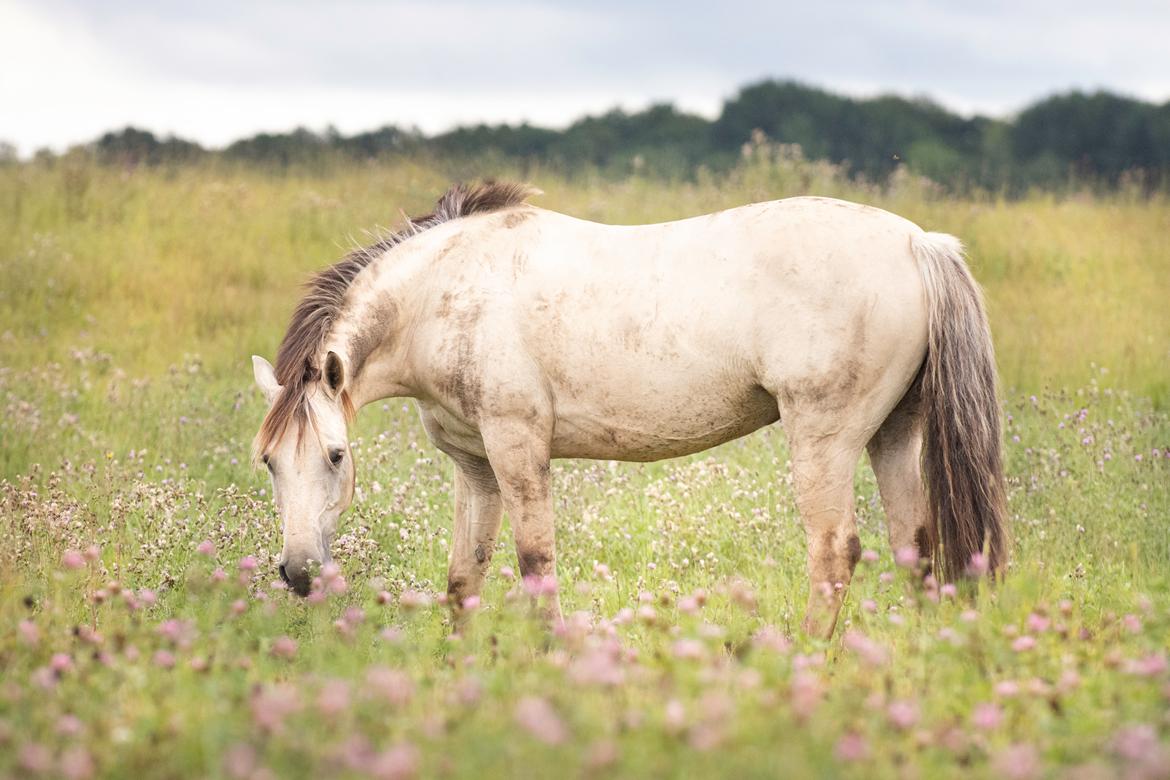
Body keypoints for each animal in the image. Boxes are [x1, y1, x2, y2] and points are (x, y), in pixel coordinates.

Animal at [251, 183, 1010, 640]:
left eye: (336, 455)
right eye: (267, 463)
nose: (299, 573)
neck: (446, 291)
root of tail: (918, 243)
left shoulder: (517, 448)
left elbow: (535, 561)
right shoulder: (476, 466)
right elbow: (465, 575)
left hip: (823, 441)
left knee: (835, 552)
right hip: (893, 435)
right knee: (916, 544)